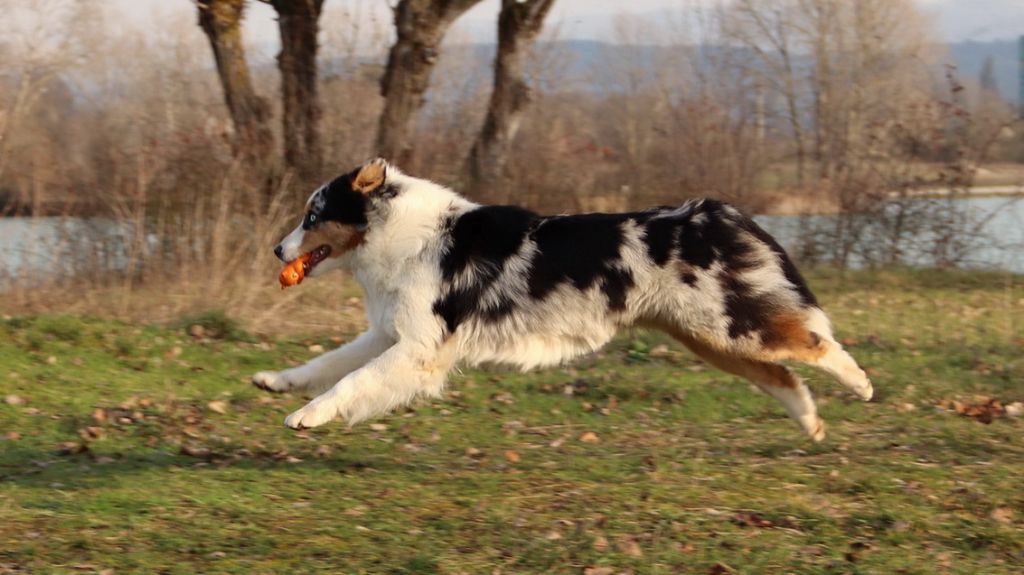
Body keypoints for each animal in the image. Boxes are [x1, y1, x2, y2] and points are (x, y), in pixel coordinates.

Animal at [253, 156, 872, 437]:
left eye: (313, 216)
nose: (277, 250)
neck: (399, 233)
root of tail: (719, 212)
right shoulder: (390, 333)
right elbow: (327, 363)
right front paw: (276, 382)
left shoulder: (419, 348)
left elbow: (351, 382)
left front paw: (306, 416)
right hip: (708, 338)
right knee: (782, 375)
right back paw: (811, 423)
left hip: (729, 325)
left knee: (815, 343)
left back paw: (861, 385)